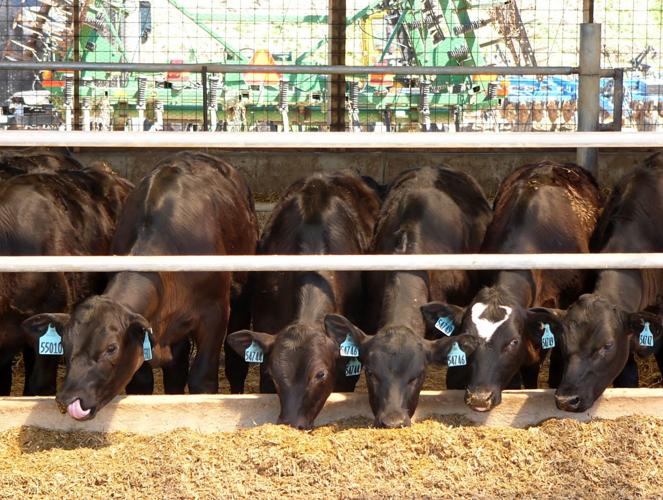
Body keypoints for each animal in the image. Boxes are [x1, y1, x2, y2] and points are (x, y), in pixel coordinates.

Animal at [22, 152, 258, 420]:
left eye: (111, 348)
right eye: (65, 344)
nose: (69, 398)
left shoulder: (215, 314)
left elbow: (202, 380)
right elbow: (141, 382)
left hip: (240, 294)